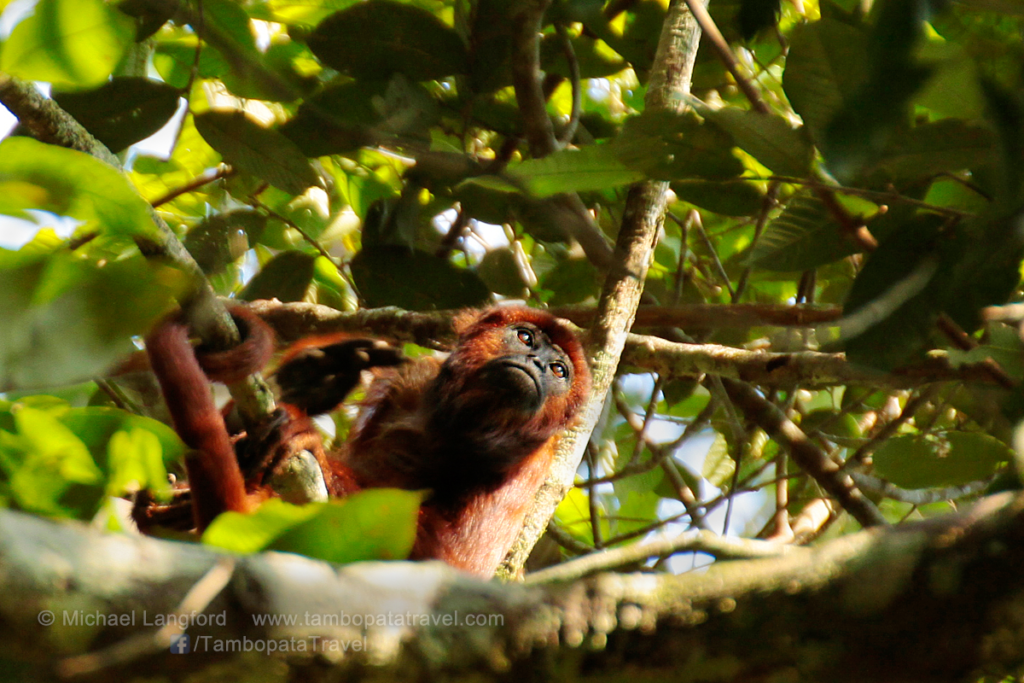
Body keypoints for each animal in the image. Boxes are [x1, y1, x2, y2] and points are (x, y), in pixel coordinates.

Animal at [137, 305, 591, 577]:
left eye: (559, 370)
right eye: (526, 338)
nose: (538, 364)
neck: (460, 425)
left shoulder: (531, 464)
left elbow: (446, 563)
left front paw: (312, 446)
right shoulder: (416, 379)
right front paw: (311, 377)